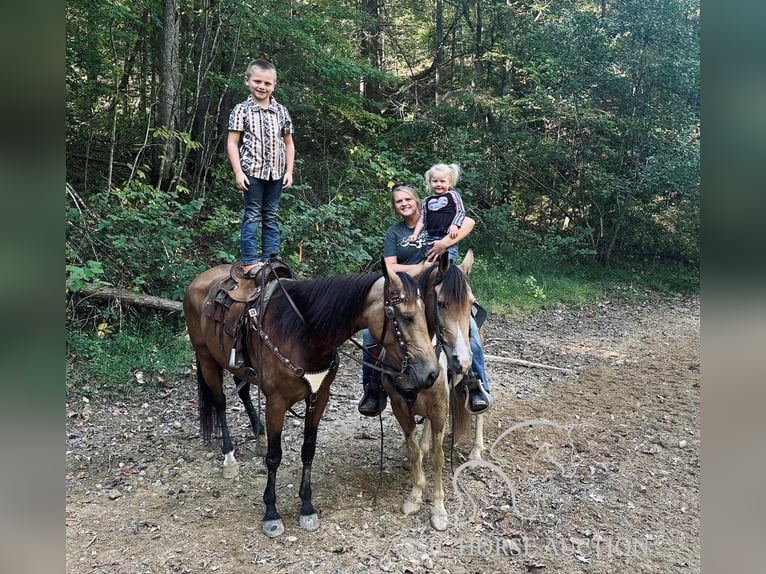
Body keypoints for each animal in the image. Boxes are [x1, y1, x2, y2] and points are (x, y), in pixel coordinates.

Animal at [182, 260, 440, 540]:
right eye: (406, 316)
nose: (431, 373)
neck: (304, 333)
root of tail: (199, 280)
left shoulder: (319, 396)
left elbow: (308, 450)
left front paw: (306, 507)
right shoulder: (276, 403)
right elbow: (274, 456)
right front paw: (271, 513)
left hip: (242, 368)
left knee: (243, 392)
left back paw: (259, 434)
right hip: (206, 357)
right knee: (219, 402)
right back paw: (229, 457)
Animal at [384, 251, 474, 532]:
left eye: (471, 304)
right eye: (442, 303)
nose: (462, 361)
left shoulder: (441, 409)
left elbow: (438, 457)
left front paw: (439, 508)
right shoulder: (400, 407)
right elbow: (414, 450)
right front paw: (415, 496)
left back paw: (477, 450)